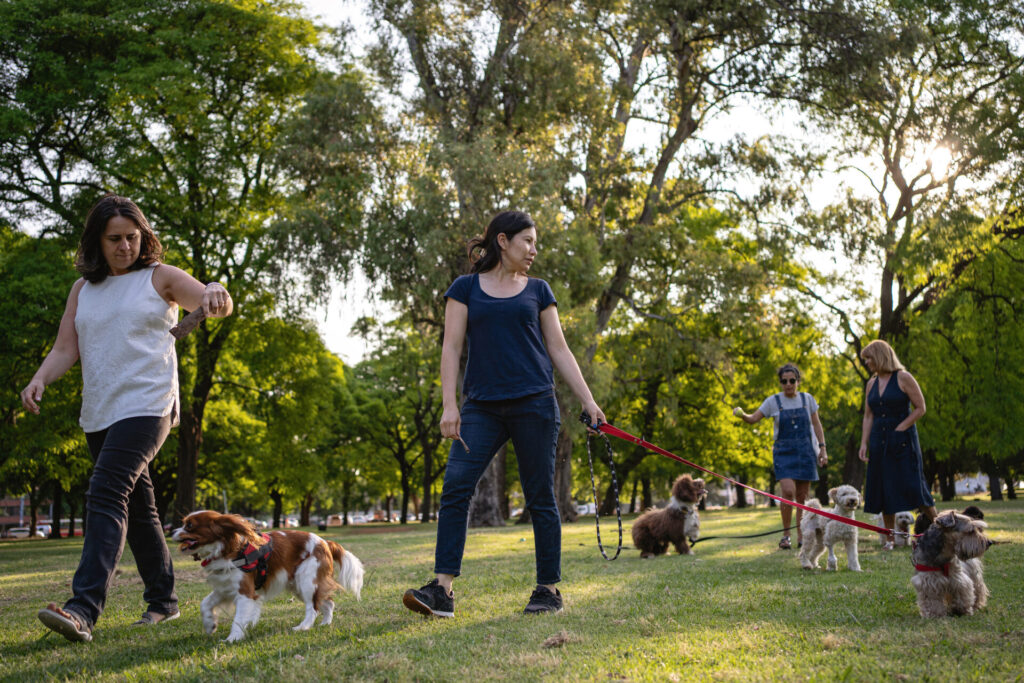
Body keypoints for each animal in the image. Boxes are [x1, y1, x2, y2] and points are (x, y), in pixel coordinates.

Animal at [175, 511, 364, 643]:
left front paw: (232, 639)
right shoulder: (224, 587)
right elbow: (205, 603)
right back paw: (325, 623)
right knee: (328, 602)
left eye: (189, 525)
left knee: (313, 608)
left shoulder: (245, 593)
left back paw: (303, 627)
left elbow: (238, 619)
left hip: (306, 581)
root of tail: (325, 542)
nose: (173, 532)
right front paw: (210, 625)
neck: (227, 550)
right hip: (297, 584)